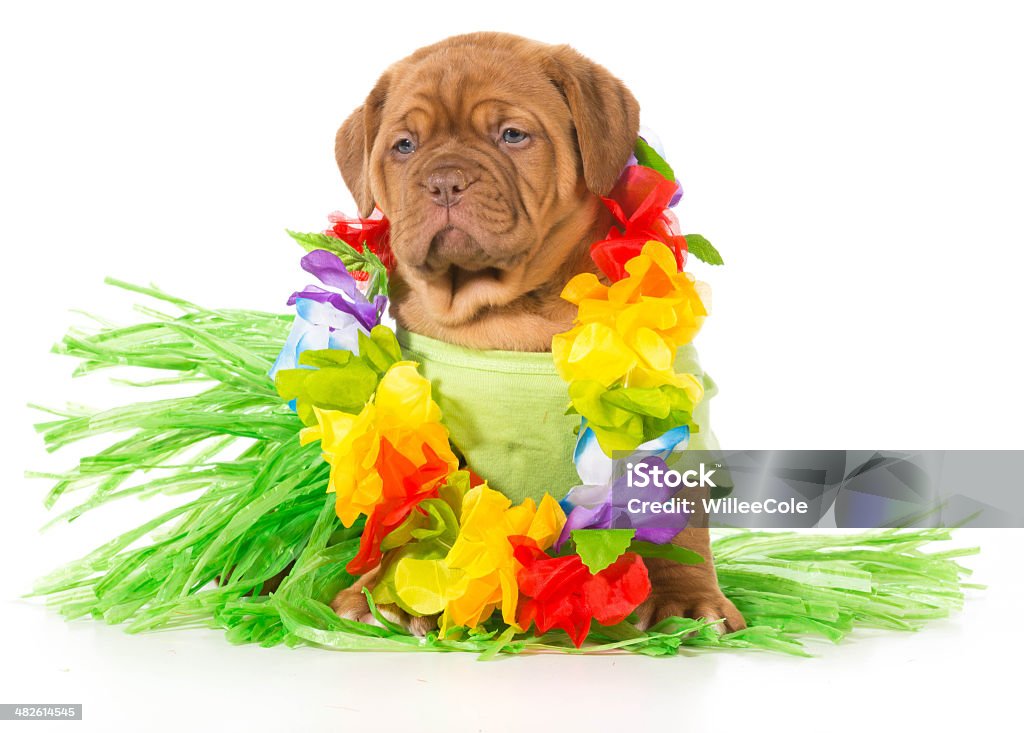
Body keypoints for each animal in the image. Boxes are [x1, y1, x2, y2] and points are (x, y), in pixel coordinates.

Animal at [327, 30, 745, 634]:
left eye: (512, 135)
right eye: (404, 146)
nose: (444, 180)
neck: (502, 311)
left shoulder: (669, 417)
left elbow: (680, 522)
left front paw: (687, 599)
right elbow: (413, 510)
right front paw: (385, 590)